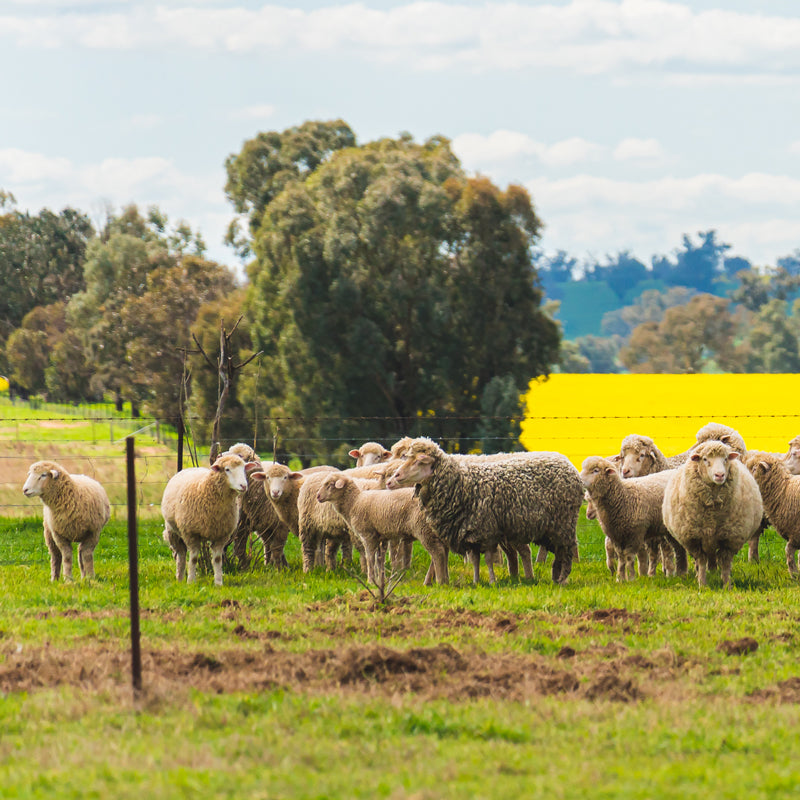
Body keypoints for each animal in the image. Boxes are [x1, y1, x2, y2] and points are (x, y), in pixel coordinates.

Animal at [161, 453, 256, 586]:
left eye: (244, 469)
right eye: (227, 469)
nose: (243, 486)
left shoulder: (221, 535)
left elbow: (217, 559)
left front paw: (218, 583)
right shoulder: (191, 533)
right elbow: (194, 558)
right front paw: (191, 581)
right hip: (173, 531)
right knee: (181, 554)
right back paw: (180, 578)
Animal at [316, 471, 449, 586]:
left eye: (330, 485)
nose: (317, 496)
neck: (354, 502)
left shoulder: (368, 535)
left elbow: (370, 559)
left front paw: (371, 580)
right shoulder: (381, 537)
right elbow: (379, 560)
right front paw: (381, 580)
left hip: (423, 528)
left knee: (437, 552)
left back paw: (439, 581)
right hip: (435, 529)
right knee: (443, 550)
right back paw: (437, 580)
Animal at [385, 437, 582, 585]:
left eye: (419, 461)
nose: (394, 478)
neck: (460, 484)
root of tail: (566, 462)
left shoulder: (486, 531)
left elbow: (487, 558)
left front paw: (492, 581)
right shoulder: (469, 533)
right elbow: (474, 560)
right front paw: (476, 581)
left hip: (563, 523)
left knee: (566, 551)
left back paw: (561, 580)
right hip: (549, 529)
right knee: (556, 553)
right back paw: (553, 578)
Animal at [662, 441, 763, 588]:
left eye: (726, 459)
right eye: (705, 459)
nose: (720, 475)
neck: (712, 516)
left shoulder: (730, 538)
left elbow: (725, 564)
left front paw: (727, 585)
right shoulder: (695, 539)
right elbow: (702, 562)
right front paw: (702, 584)